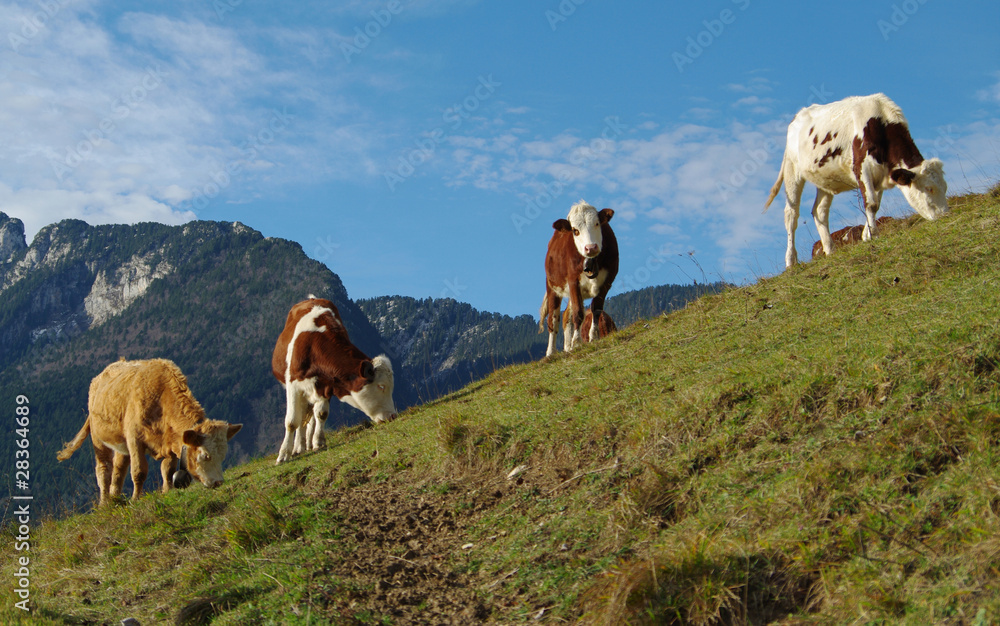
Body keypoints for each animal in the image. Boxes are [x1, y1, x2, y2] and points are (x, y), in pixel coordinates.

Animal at [56, 358, 243, 506]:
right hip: (99, 440)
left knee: (118, 469)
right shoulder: (135, 440)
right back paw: (104, 503)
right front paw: (135, 499)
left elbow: (167, 470)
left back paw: (115, 497)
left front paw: (167, 492)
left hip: (121, 444)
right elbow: (139, 471)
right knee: (104, 469)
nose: (218, 482)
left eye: (223, 455)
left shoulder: (169, 443)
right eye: (205, 455)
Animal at [272, 296, 397, 464]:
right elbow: (291, 422)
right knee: (301, 418)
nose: (393, 416)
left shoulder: (327, 385)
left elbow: (321, 414)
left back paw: (306, 444)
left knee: (308, 416)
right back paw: (299, 447)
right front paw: (284, 454)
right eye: (381, 386)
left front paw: (318, 442)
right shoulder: (293, 385)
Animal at [540, 201, 619, 357]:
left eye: (597, 223)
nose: (591, 247)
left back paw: (567, 347)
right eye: (575, 230)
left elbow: (596, 309)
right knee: (553, 319)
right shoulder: (573, 282)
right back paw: (551, 352)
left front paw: (593, 337)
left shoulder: (608, 282)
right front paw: (576, 343)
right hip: (552, 287)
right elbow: (578, 313)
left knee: (566, 316)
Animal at [764, 93, 947, 267]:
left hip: (823, 178)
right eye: (929, 188)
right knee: (791, 215)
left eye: (944, 188)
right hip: (792, 170)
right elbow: (871, 203)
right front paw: (874, 234)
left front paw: (867, 235)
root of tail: (798, 116)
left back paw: (830, 249)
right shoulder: (862, 167)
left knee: (819, 211)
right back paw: (791, 260)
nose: (944, 215)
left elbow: (875, 204)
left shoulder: (880, 175)